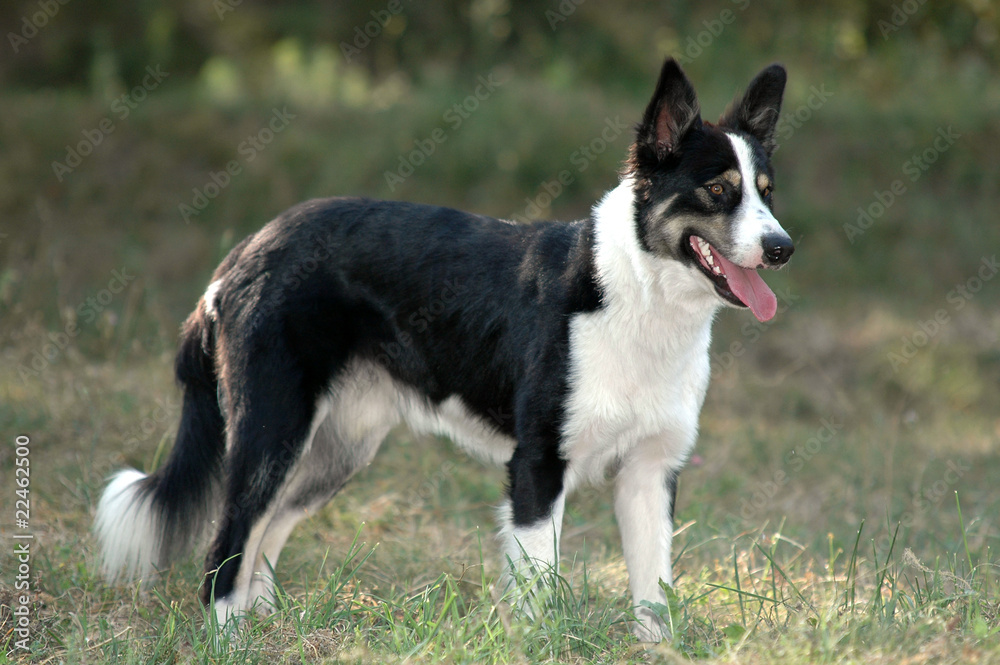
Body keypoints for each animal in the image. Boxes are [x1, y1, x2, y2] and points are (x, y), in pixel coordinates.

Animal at [95, 58, 792, 641]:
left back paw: (268, 626)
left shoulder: (650, 474)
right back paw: (229, 640)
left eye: (766, 190)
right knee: (226, 547)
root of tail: (241, 256)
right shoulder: (538, 467)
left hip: (336, 449)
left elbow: (654, 596)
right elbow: (539, 591)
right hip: (272, 431)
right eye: (718, 191)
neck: (638, 300)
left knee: (265, 537)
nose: (783, 248)